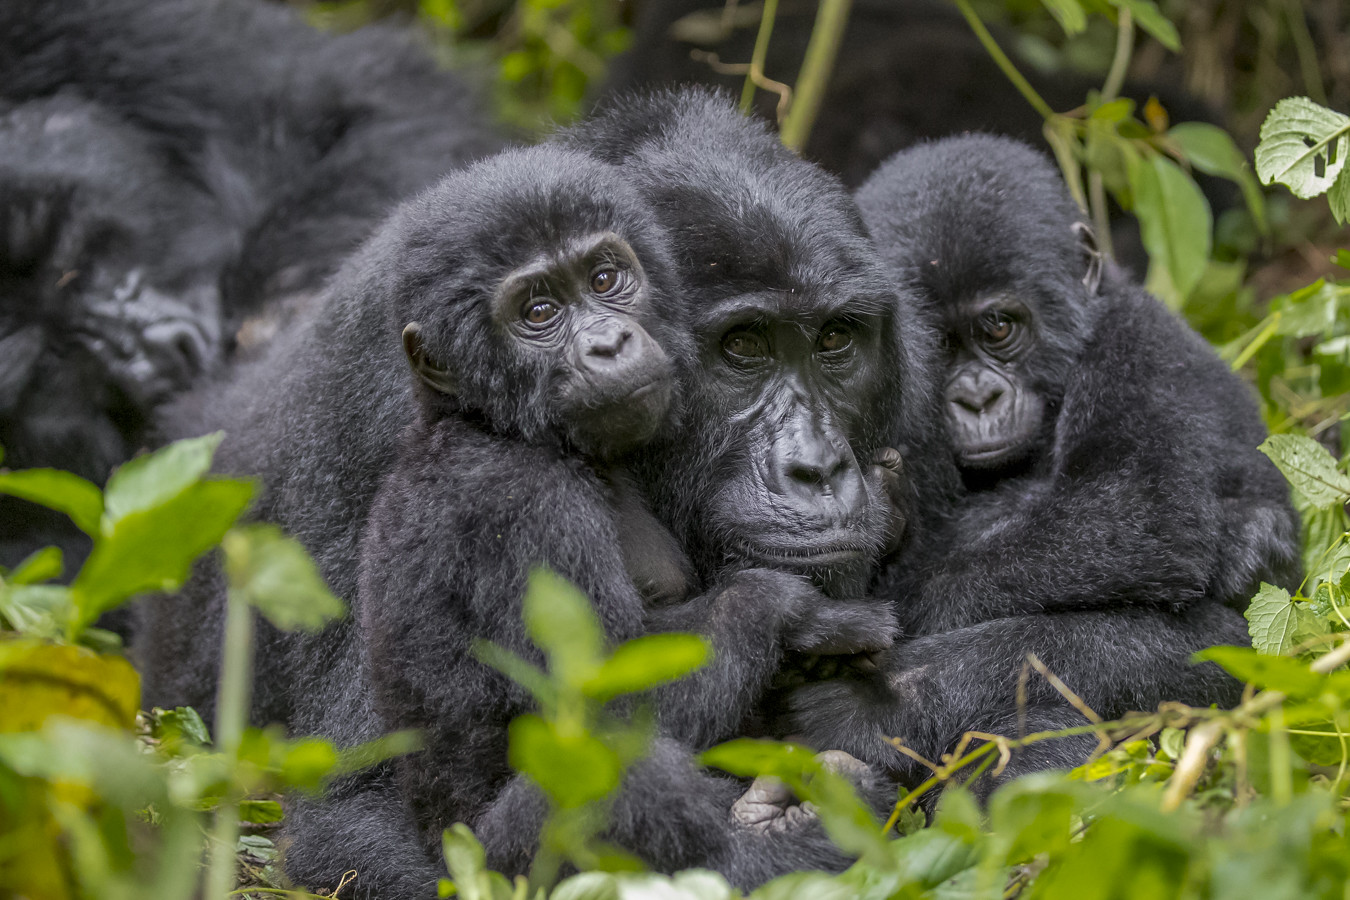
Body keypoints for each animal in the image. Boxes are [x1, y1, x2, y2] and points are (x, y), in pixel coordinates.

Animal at [788, 132, 1301, 793]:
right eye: (938, 345)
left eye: (999, 327)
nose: (978, 398)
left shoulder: (1134, 341)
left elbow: (1139, 509)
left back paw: (882, 710)